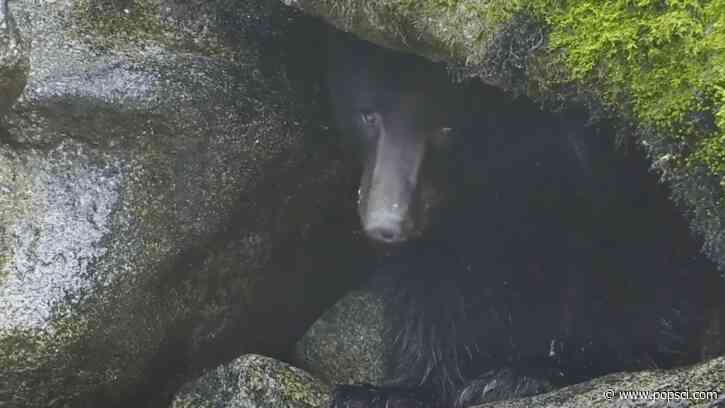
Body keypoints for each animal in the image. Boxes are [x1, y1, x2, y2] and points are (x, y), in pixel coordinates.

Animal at [325, 29, 725, 408]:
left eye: (447, 128)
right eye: (368, 115)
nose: (387, 225)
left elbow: (639, 270)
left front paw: (523, 373)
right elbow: (434, 280)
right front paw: (388, 389)